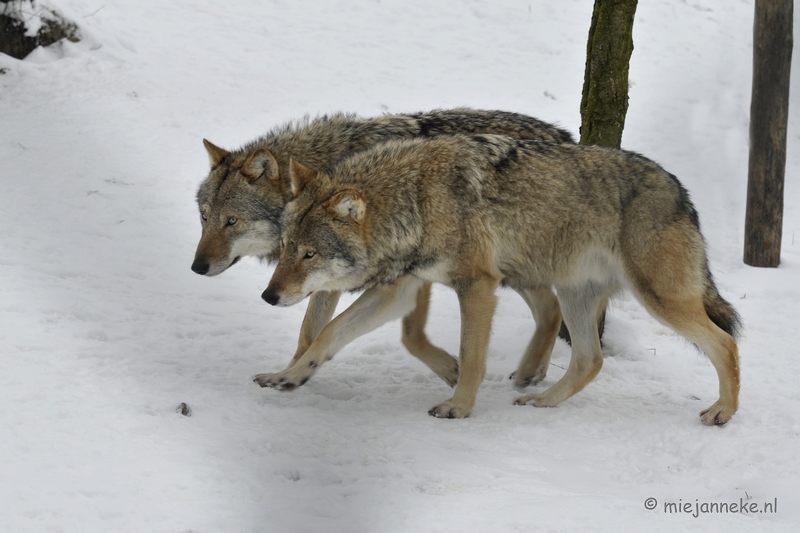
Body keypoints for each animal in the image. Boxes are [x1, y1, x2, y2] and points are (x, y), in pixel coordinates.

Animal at [189, 108, 576, 386]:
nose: (197, 267)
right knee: (551, 307)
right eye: (204, 217)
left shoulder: (397, 275)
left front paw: (452, 371)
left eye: (232, 221)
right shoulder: (332, 281)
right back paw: (533, 373)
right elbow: (310, 332)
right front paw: (290, 373)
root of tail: (563, 135)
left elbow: (408, 336)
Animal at [264, 134, 744, 424]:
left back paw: (723, 411)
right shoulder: (401, 289)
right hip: (574, 293)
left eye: (310, 254)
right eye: (285, 245)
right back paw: (542, 399)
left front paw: (459, 406)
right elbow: (328, 334)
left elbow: (471, 357)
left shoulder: (477, 285)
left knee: (726, 343)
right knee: (589, 359)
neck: (416, 197)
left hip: (660, 299)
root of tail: (680, 190)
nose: (268, 296)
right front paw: (289, 376)